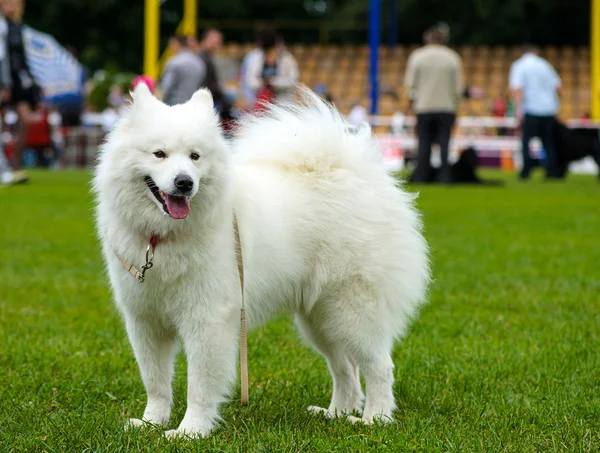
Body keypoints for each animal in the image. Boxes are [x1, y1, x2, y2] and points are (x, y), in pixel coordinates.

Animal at [92, 83, 432, 436]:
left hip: (352, 311)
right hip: (319, 319)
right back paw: (334, 413)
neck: (163, 237)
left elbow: (199, 384)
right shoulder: (145, 320)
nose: (185, 182)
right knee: (345, 369)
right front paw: (150, 422)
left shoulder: (207, 319)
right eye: (159, 154)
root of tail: (363, 180)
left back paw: (374, 419)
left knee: (380, 366)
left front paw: (190, 431)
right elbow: (156, 381)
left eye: (195, 157)